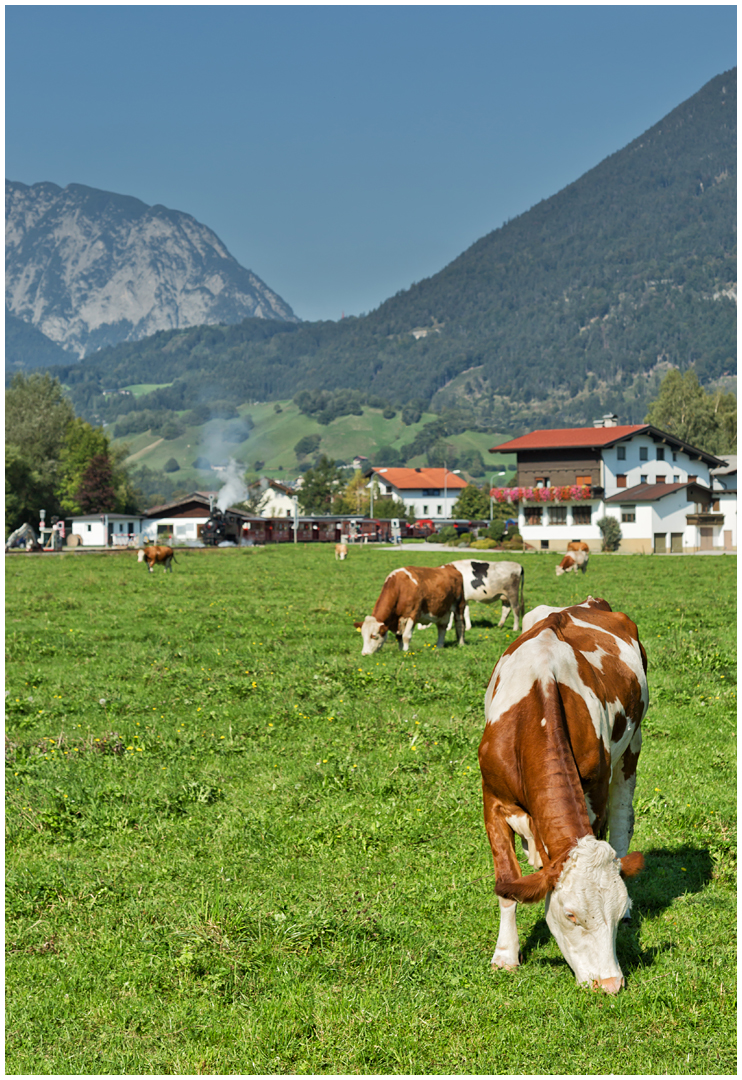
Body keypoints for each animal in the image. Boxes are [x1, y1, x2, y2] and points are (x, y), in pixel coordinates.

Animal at [479, 600, 648, 993]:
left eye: (616, 910)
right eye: (571, 915)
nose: (610, 983)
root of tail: (588, 602)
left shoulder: (595, 793)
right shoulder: (492, 800)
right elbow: (506, 882)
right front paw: (505, 955)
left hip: (632, 744)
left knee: (623, 817)